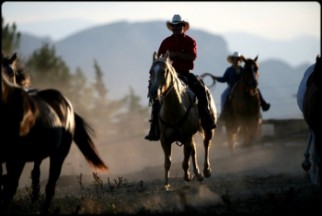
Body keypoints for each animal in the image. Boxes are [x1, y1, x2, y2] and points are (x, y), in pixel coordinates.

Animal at [0, 52, 109, 213]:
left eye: (11, 73)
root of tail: (68, 105)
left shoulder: (17, 158)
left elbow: (9, 186)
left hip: (59, 154)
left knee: (49, 186)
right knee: (35, 176)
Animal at [148, 50, 216, 189]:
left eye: (164, 71)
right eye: (150, 72)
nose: (153, 92)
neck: (174, 109)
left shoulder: (187, 136)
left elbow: (185, 162)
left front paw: (187, 176)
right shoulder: (164, 139)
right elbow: (167, 162)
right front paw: (166, 184)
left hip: (207, 129)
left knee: (206, 144)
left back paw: (206, 170)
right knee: (194, 151)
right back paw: (199, 174)